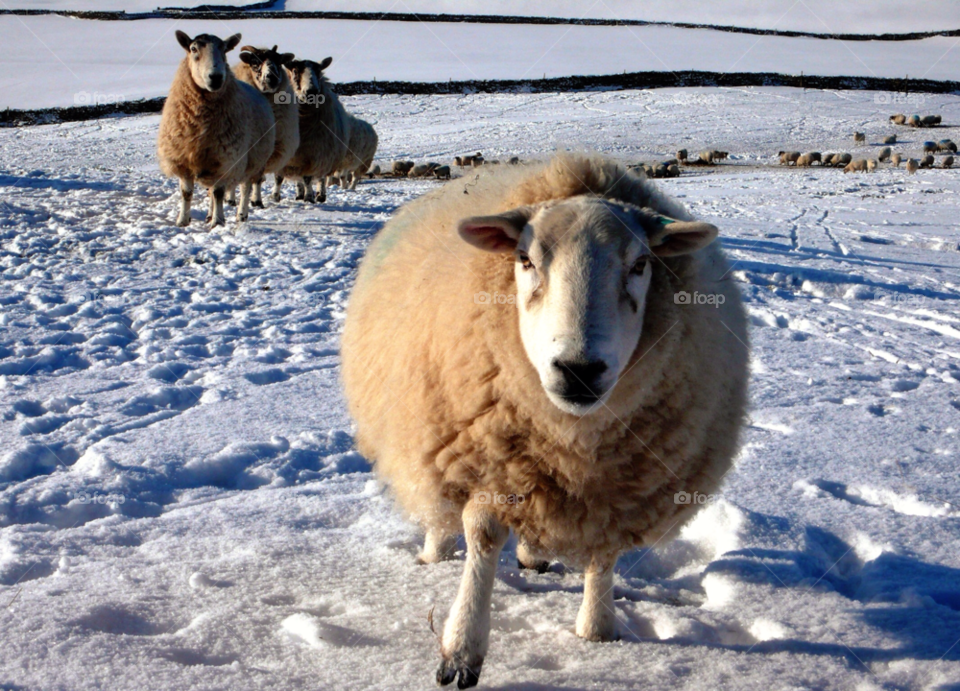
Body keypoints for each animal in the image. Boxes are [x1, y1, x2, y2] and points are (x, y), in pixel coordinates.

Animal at [157, 31, 275, 228]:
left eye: (225, 49)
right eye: (193, 49)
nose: (216, 76)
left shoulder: (225, 159)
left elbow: (219, 193)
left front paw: (218, 222)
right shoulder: (185, 158)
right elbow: (187, 193)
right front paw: (183, 221)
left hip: (252, 159)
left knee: (245, 187)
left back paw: (241, 215)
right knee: (212, 190)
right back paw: (208, 215)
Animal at [229, 45, 299, 207]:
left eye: (279, 62)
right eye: (255, 63)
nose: (272, 78)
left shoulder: (269, 148)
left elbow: (261, 178)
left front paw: (257, 201)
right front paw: (254, 200)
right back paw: (230, 199)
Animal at [278, 57, 351, 204]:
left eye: (318, 71)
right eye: (295, 71)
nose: (312, 91)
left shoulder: (313, 154)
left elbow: (308, 177)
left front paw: (309, 197)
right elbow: (279, 177)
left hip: (325, 154)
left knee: (320, 176)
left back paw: (319, 195)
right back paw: (299, 195)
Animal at [341, 153, 748, 688]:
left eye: (640, 264)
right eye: (525, 260)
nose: (578, 370)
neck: (572, 438)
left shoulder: (616, 490)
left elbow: (605, 551)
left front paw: (597, 629)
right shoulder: (488, 456)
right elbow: (483, 536)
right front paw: (461, 649)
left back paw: (534, 555)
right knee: (439, 510)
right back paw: (433, 554)